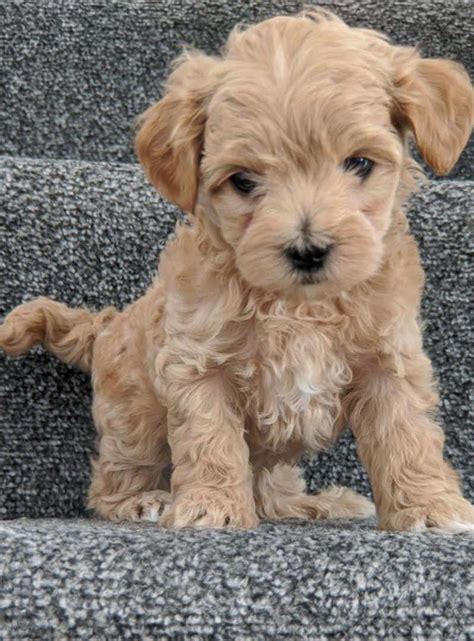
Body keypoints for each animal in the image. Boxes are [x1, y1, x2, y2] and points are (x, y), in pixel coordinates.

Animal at [1, 10, 472, 528]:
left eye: (360, 163)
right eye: (243, 181)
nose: (308, 250)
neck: (298, 306)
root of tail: (107, 324)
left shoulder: (390, 359)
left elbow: (407, 437)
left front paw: (430, 507)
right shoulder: (197, 362)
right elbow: (210, 438)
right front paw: (212, 506)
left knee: (270, 484)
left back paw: (312, 504)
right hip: (134, 417)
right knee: (112, 477)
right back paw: (140, 501)